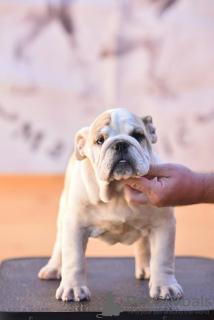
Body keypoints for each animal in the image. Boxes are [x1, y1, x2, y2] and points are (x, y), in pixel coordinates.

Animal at [38, 109, 182, 302]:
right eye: (100, 140)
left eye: (138, 135)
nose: (120, 144)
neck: (117, 191)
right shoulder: (75, 226)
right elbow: (74, 259)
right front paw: (73, 288)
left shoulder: (163, 224)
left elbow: (163, 258)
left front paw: (165, 286)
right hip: (63, 215)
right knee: (60, 243)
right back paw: (53, 268)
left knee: (143, 243)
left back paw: (146, 268)